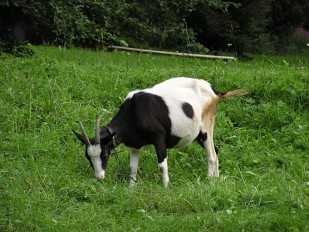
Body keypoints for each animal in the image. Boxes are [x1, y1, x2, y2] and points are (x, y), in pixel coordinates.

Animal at [73, 76, 247, 187]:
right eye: (88, 156)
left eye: (104, 153)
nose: (99, 177)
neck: (134, 110)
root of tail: (214, 91)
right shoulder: (135, 145)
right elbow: (132, 167)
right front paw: (131, 187)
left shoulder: (159, 139)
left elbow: (162, 165)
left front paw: (166, 187)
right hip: (199, 134)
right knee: (216, 150)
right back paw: (216, 179)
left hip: (206, 127)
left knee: (211, 155)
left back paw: (209, 181)